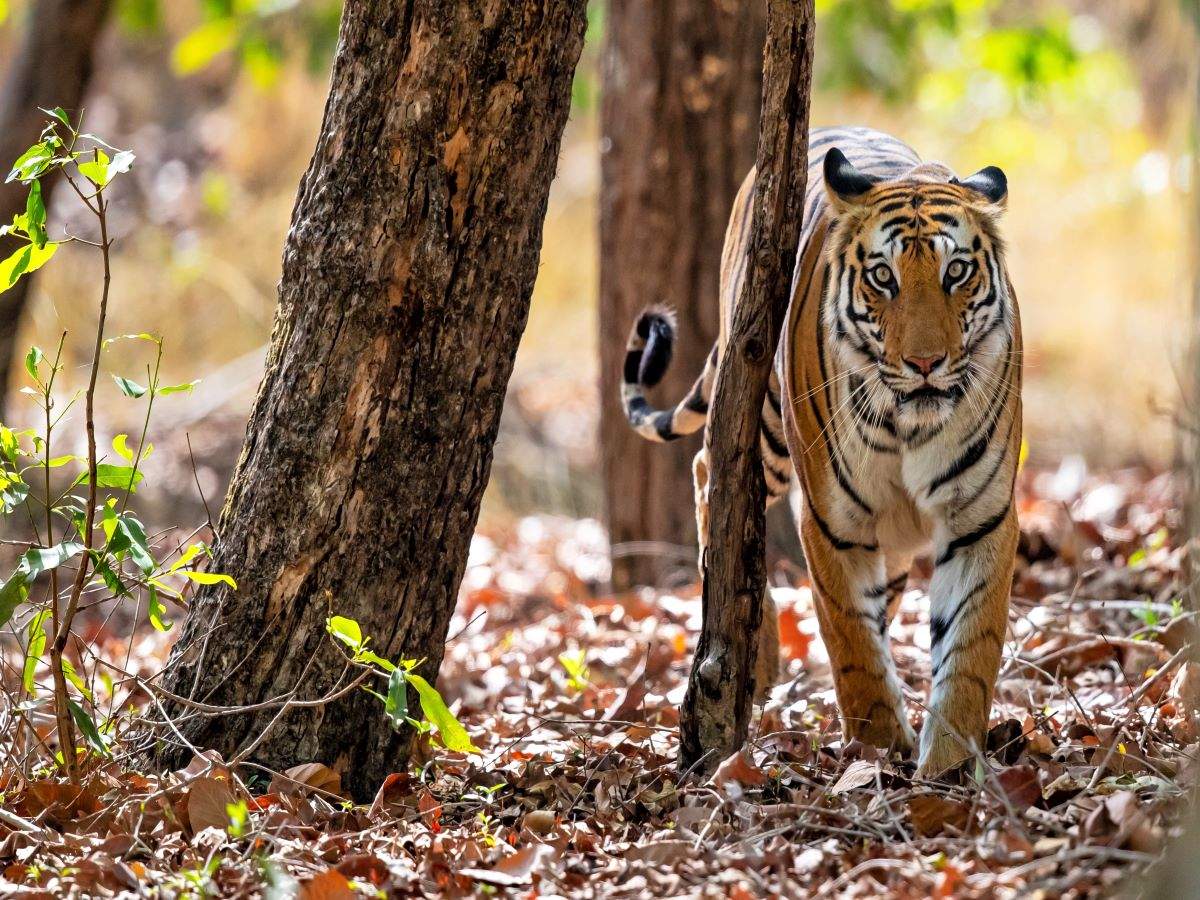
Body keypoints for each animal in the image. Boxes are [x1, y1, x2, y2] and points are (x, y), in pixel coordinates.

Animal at [619, 127, 1022, 782]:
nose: (926, 362)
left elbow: (969, 647)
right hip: (762, 422)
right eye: (883, 277)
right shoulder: (833, 521)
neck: (911, 427)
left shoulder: (979, 517)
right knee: (712, 476)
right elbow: (852, 642)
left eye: (956, 272)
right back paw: (753, 662)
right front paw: (879, 748)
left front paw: (951, 766)